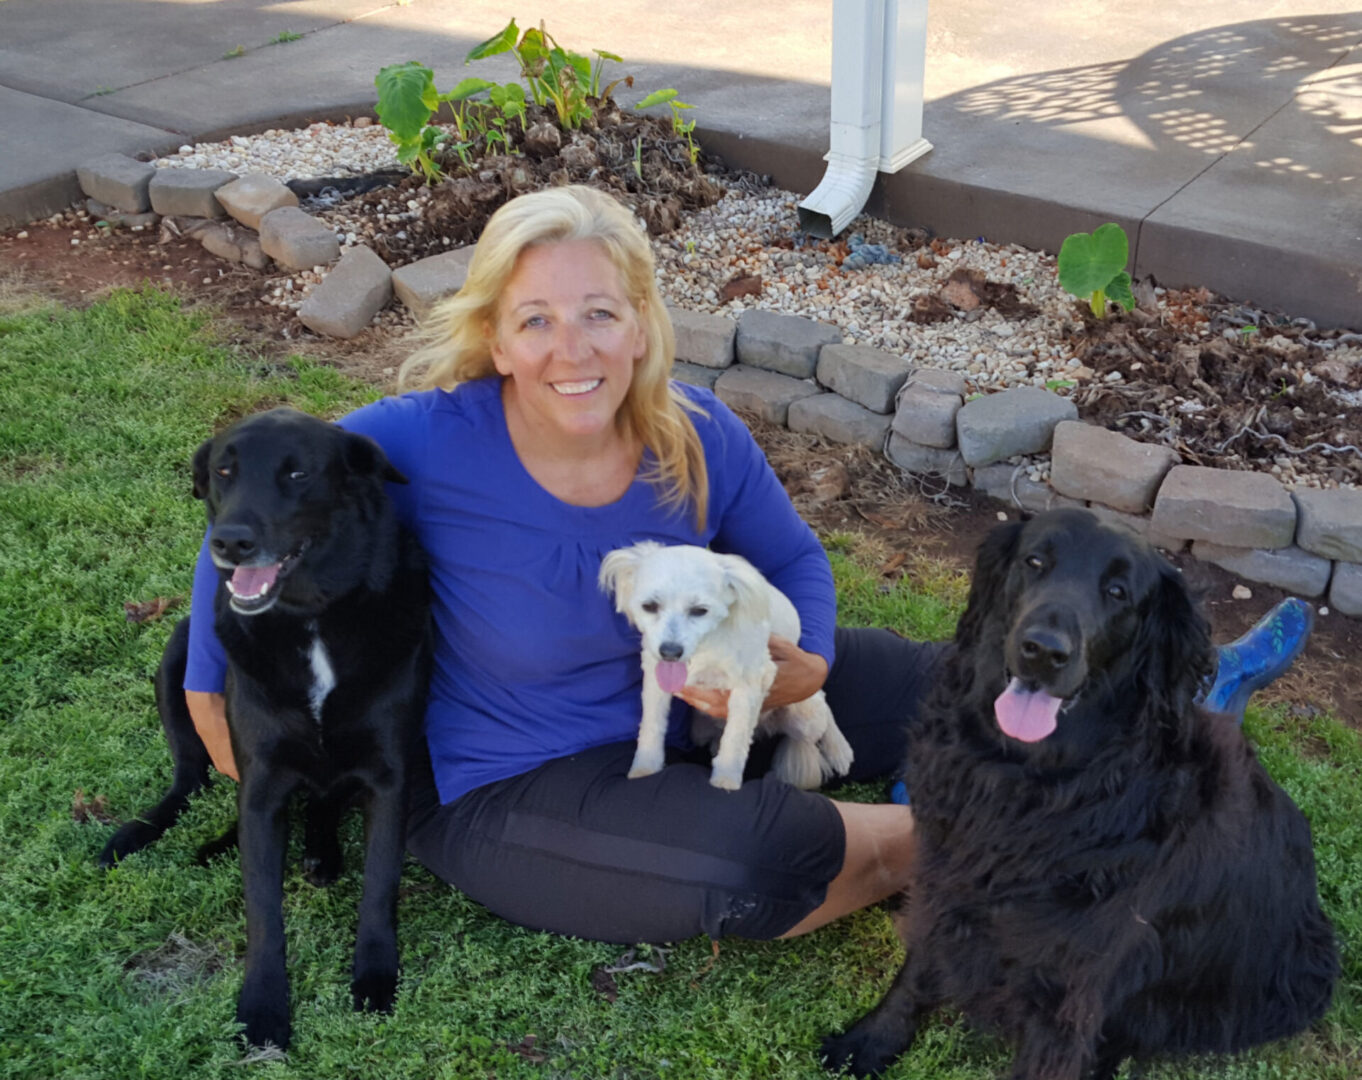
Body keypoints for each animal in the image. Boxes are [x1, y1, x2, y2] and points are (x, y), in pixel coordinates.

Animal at [99, 408, 427, 1051]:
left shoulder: (390, 776)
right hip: (176, 653)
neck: (312, 617)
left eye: (297, 473)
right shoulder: (263, 783)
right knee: (189, 781)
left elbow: (379, 885)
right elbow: (262, 910)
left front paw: (376, 977)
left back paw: (320, 853)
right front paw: (263, 1007)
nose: (229, 543)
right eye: (223, 472)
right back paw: (148, 835)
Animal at [599, 544, 849, 789]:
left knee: (819, 709)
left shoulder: (749, 684)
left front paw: (726, 780)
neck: (705, 648)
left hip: (805, 714)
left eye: (700, 610)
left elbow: (736, 737)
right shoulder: (654, 675)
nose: (670, 652)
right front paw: (645, 767)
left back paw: (839, 749)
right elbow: (651, 725)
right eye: (649, 606)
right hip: (699, 730)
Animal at [822, 506, 1334, 1078]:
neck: (1030, 780)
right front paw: (870, 1041)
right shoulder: (946, 878)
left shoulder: (1071, 990)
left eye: (1117, 592)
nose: (1043, 651)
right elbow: (917, 969)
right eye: (1035, 561)